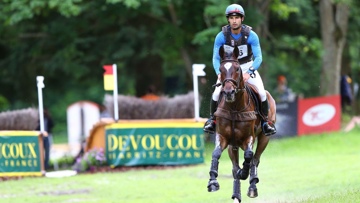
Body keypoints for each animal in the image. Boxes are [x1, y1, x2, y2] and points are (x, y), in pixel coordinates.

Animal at [207, 45, 278, 202]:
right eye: (220, 69)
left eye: (237, 69)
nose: (228, 92)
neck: (234, 108)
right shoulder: (223, 137)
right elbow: (216, 154)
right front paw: (213, 182)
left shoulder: (248, 137)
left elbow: (249, 156)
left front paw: (244, 173)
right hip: (232, 146)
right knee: (235, 167)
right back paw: (236, 195)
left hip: (265, 138)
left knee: (255, 159)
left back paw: (252, 188)